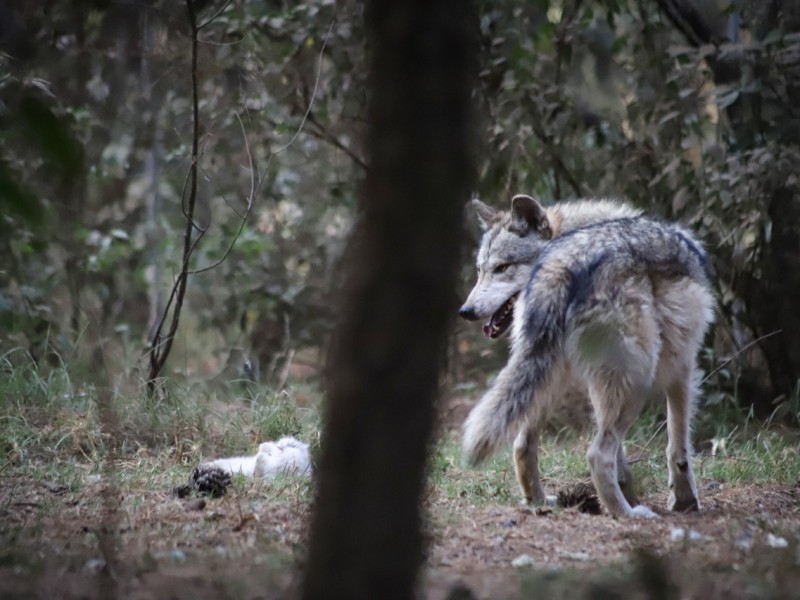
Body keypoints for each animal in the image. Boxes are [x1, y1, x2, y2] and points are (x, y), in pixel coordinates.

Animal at [460, 195, 716, 516]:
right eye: (481, 269)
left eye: (501, 267)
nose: (465, 312)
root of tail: (560, 262)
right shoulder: (684, 366)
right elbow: (678, 445)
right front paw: (684, 501)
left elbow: (626, 461)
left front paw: (633, 493)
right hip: (637, 380)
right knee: (596, 454)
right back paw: (629, 514)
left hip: (546, 378)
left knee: (522, 444)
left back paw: (540, 502)